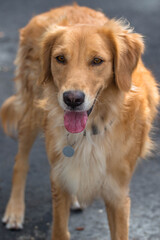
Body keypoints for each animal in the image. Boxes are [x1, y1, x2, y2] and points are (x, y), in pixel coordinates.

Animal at [0, 3, 159, 240]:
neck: (91, 129)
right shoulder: (58, 182)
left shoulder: (117, 194)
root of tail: (63, 6)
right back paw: (15, 211)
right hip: (31, 111)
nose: (72, 99)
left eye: (97, 61)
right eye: (60, 58)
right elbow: (59, 230)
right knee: (20, 162)